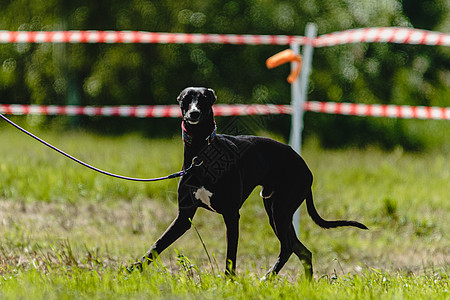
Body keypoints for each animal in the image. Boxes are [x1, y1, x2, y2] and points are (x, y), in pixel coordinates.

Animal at [135, 88, 368, 280]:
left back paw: (267, 278)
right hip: (277, 212)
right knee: (302, 251)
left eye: (204, 100)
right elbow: (156, 246)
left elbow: (231, 257)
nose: (193, 114)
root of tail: (304, 166)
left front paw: (229, 283)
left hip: (281, 211)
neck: (201, 154)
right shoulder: (184, 217)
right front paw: (131, 272)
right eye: (185, 100)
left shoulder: (231, 215)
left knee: (288, 248)